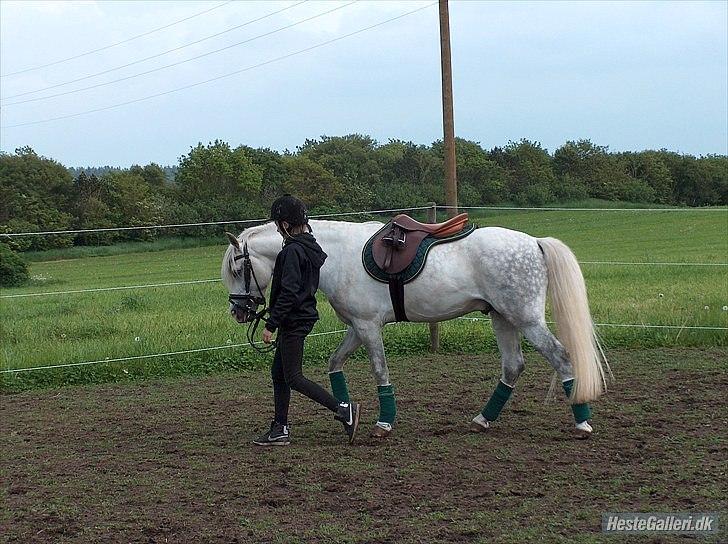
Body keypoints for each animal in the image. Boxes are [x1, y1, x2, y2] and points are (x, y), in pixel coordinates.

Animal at [221, 219, 610, 439]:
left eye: (240, 268)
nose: (239, 312)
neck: (336, 254)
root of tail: (534, 242)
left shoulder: (369, 328)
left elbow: (380, 373)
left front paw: (382, 423)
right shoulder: (357, 328)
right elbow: (334, 365)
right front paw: (346, 413)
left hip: (526, 320)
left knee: (562, 357)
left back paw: (582, 424)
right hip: (502, 318)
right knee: (513, 366)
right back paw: (482, 420)